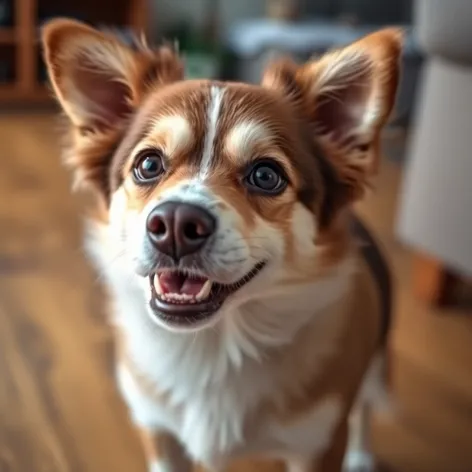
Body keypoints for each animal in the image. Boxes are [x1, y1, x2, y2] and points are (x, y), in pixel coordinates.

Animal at [41, 18, 402, 472]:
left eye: (266, 175)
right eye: (148, 164)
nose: (175, 224)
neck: (214, 346)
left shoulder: (317, 442)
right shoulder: (158, 430)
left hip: (376, 358)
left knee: (366, 407)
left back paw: (361, 456)